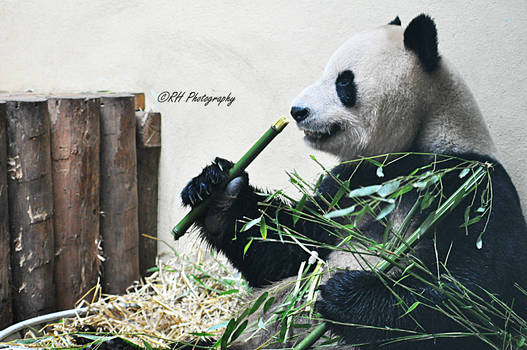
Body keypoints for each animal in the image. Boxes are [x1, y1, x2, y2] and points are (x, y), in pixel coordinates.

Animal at [180, 14, 527, 350]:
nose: (297, 111)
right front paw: (217, 189)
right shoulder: (347, 186)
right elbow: (290, 250)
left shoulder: (472, 184)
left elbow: (475, 292)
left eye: (343, 82)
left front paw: (344, 295)